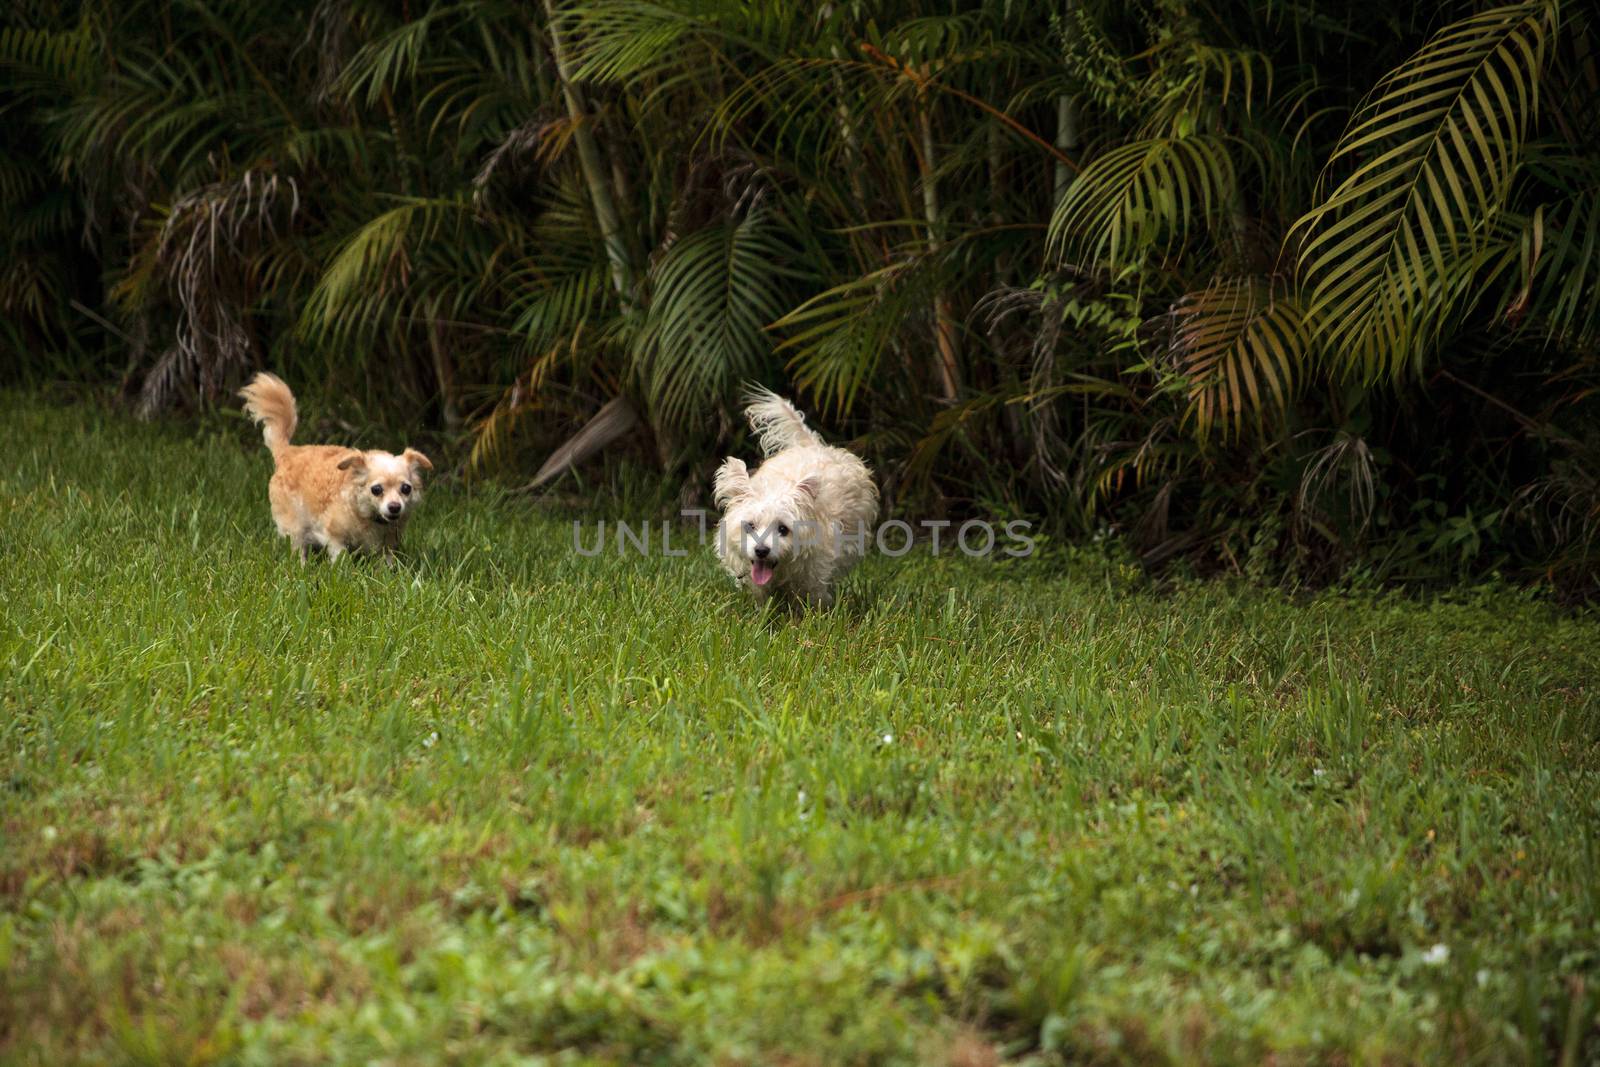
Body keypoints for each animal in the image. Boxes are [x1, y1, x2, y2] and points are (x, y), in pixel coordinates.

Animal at [236, 371, 432, 563]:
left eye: (406, 489)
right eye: (376, 490)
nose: (394, 507)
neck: (368, 516)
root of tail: (288, 452)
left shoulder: (388, 544)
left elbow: (387, 562)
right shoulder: (334, 536)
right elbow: (341, 557)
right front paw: (344, 570)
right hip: (294, 526)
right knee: (298, 546)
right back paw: (302, 566)